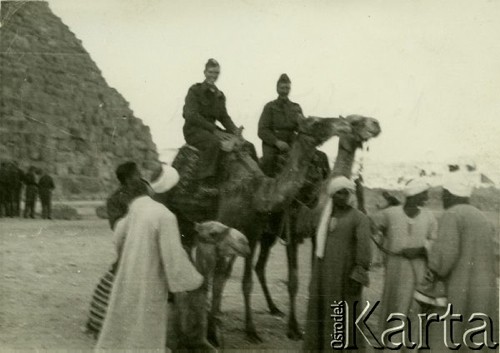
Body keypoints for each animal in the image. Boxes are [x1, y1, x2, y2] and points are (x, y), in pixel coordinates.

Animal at [156, 113, 378, 344]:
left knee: (249, 265)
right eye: (316, 122)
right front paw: (214, 332)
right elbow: (222, 278)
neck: (257, 193)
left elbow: (248, 282)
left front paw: (255, 330)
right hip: (173, 210)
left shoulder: (253, 235)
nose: (373, 124)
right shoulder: (235, 231)